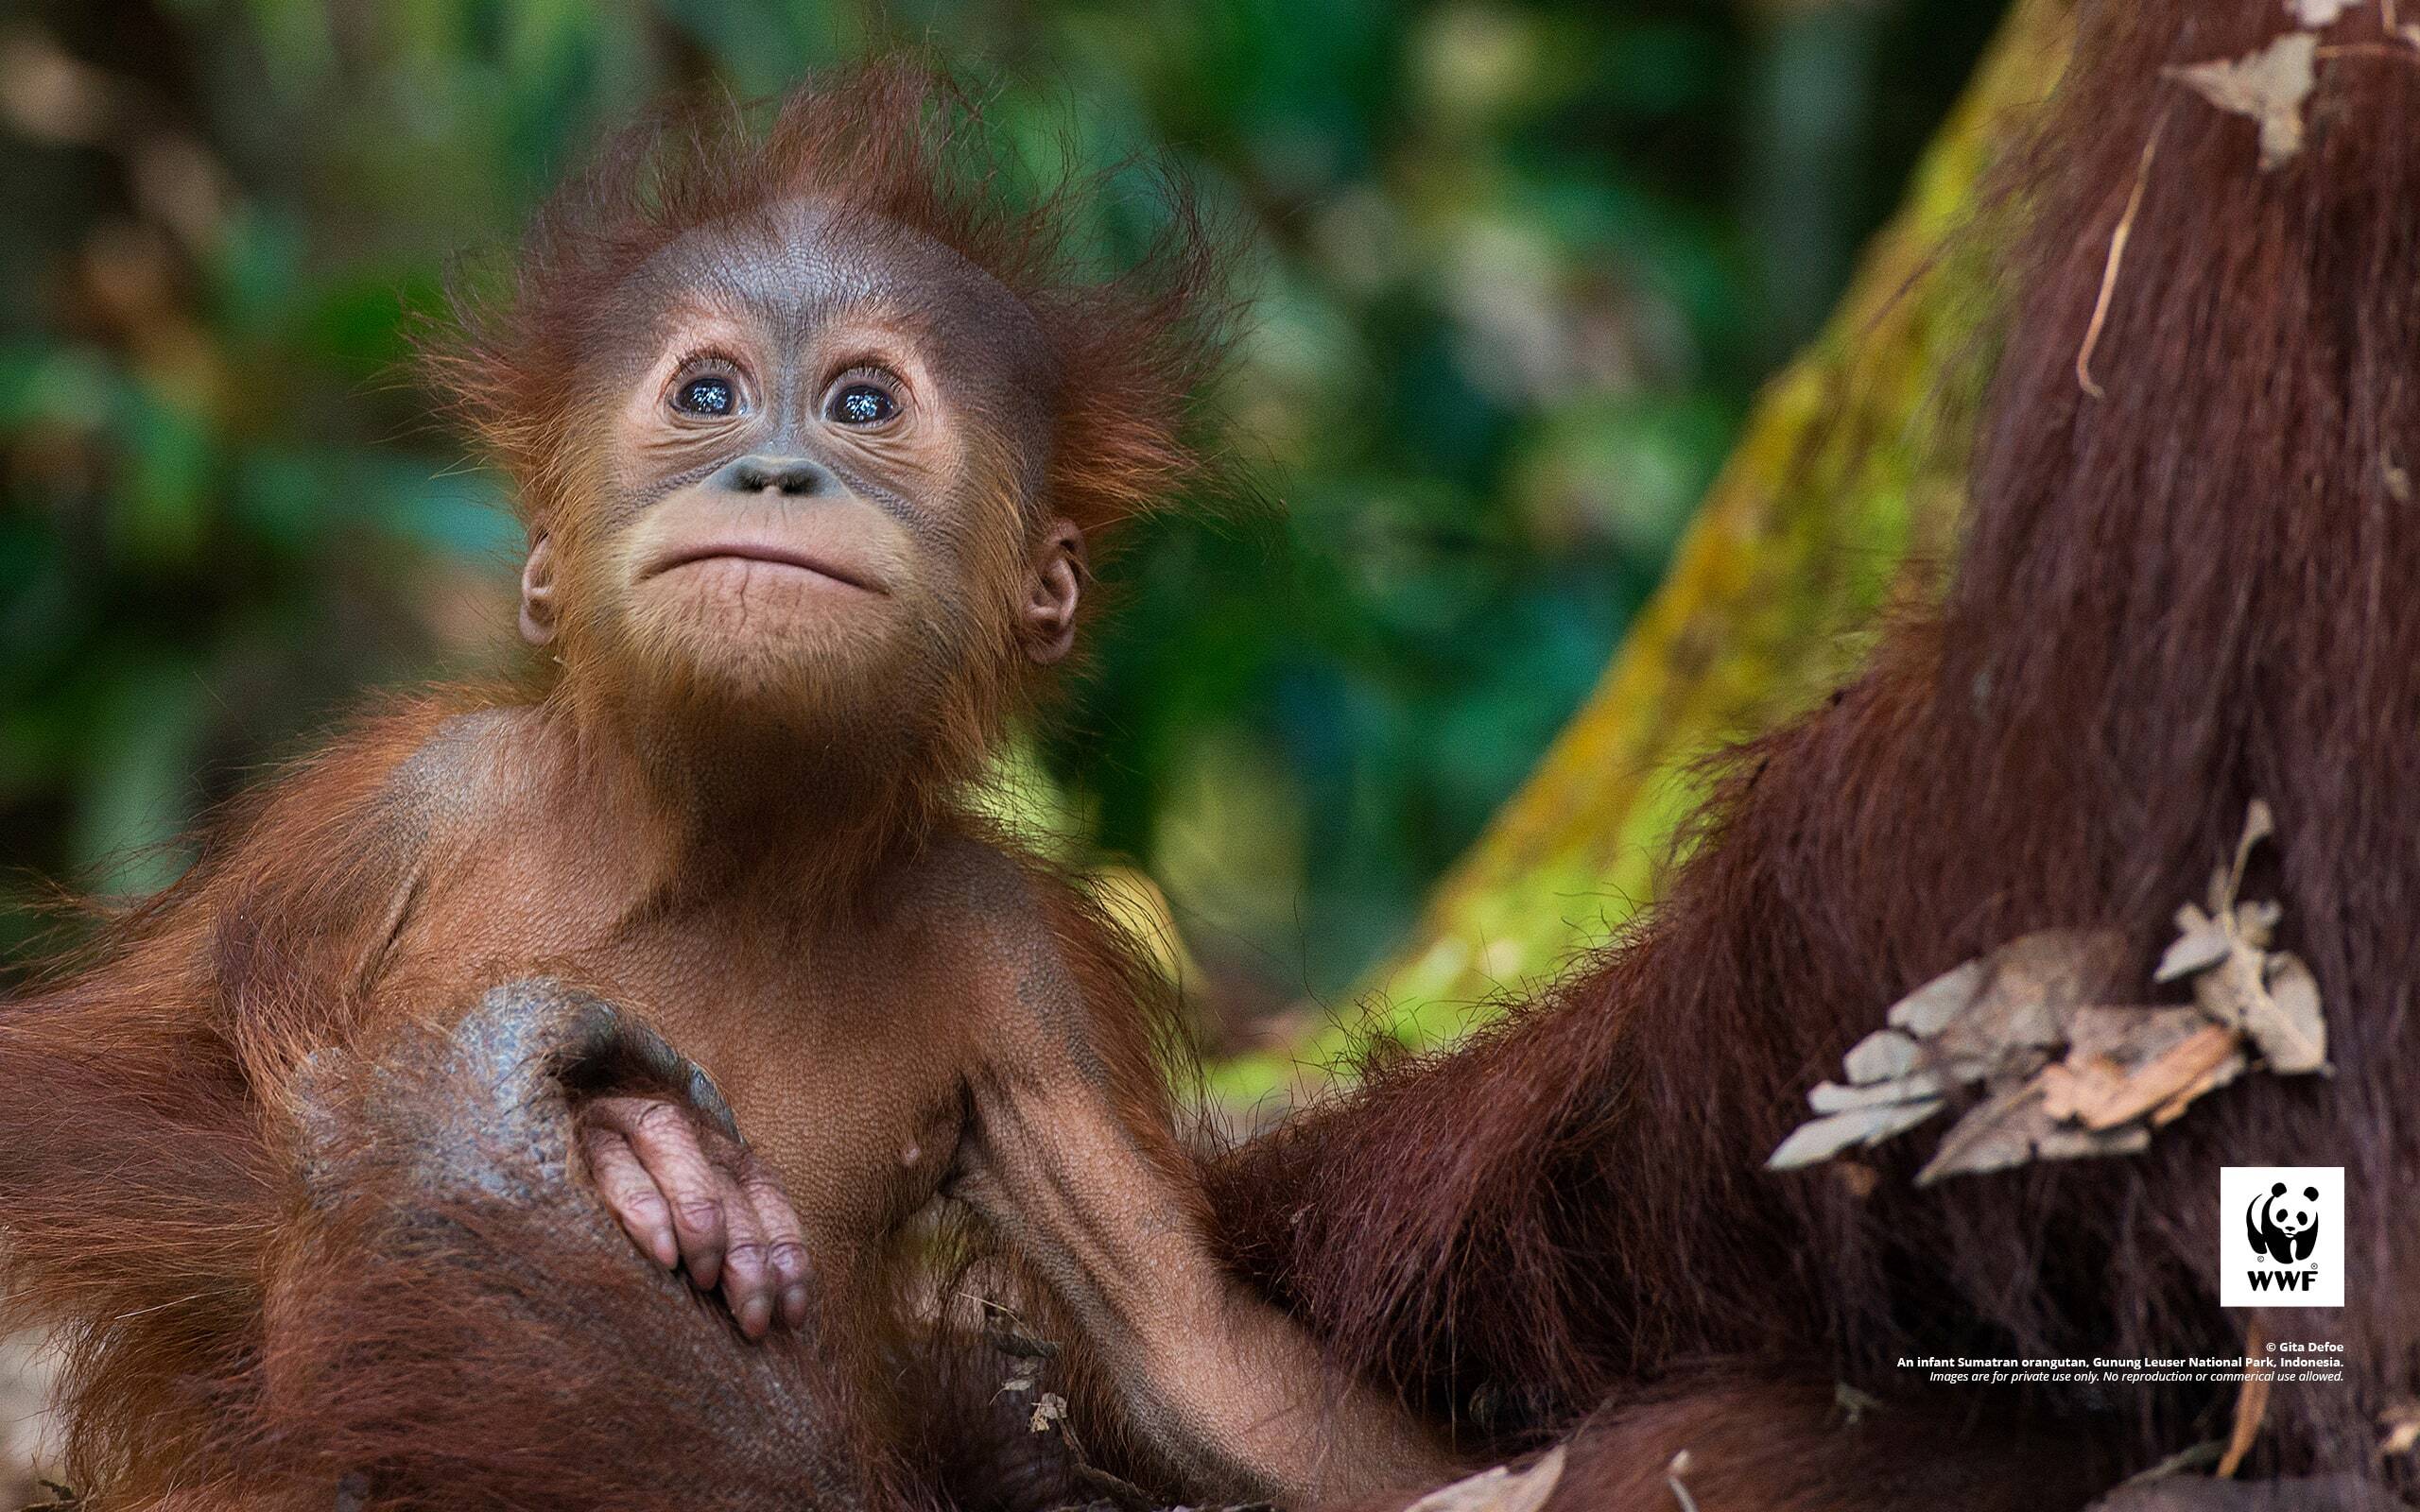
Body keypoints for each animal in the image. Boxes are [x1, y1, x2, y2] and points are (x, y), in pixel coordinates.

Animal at [0, 63, 1447, 1512]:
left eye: (863, 407)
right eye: (708, 395)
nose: (772, 470)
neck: (726, 846)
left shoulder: (1022, 968)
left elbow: (1197, 1363)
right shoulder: (399, 809)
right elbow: (75, 1081)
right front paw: (589, 1150)